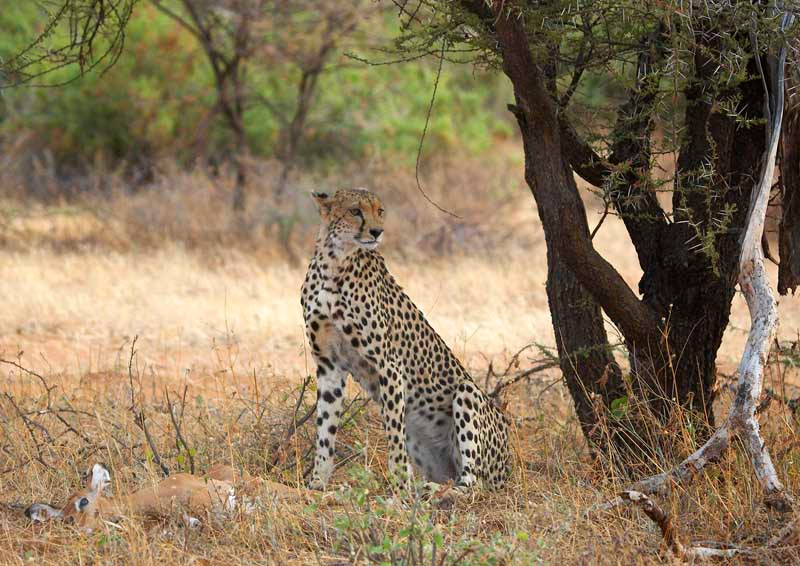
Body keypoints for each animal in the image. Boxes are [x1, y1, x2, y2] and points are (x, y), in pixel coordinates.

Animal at [301, 188, 511, 491]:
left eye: (380, 211)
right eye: (355, 211)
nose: (377, 231)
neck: (336, 260)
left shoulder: (388, 364)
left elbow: (393, 435)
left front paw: (400, 486)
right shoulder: (329, 365)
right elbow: (325, 429)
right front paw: (318, 481)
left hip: (467, 392)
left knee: (473, 483)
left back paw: (430, 489)